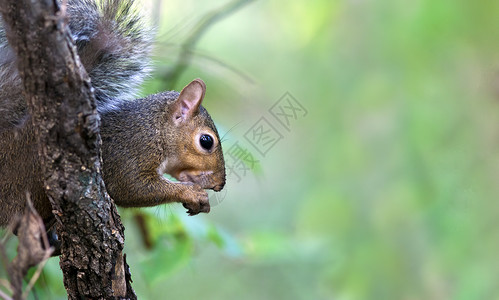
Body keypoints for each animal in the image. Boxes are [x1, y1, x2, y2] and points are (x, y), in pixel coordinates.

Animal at [0, 0, 227, 226]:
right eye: (206, 141)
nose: (220, 184)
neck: (155, 129)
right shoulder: (129, 153)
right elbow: (132, 188)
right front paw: (192, 193)